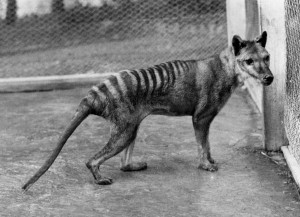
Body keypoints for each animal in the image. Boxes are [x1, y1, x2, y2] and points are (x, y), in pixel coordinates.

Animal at [22, 31, 274, 191]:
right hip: (124, 132)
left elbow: (208, 144)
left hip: (131, 127)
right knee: (92, 161)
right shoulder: (201, 118)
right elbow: (203, 145)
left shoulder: (206, 121)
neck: (226, 68)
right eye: (249, 61)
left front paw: (210, 159)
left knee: (123, 163)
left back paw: (132, 165)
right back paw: (100, 179)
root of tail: (95, 94)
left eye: (267, 57)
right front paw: (206, 165)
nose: (269, 78)